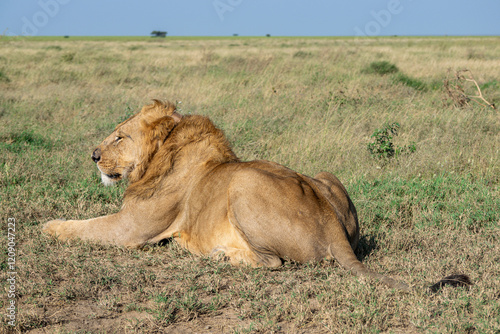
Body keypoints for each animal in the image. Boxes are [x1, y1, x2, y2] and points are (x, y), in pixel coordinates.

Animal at [44, 98, 472, 290]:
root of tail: (331, 223)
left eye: (120, 136)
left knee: (273, 263)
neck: (162, 153)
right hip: (324, 175)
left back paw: (222, 256)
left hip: (244, 185)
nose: (93, 156)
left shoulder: (132, 229)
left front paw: (47, 226)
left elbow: (83, 227)